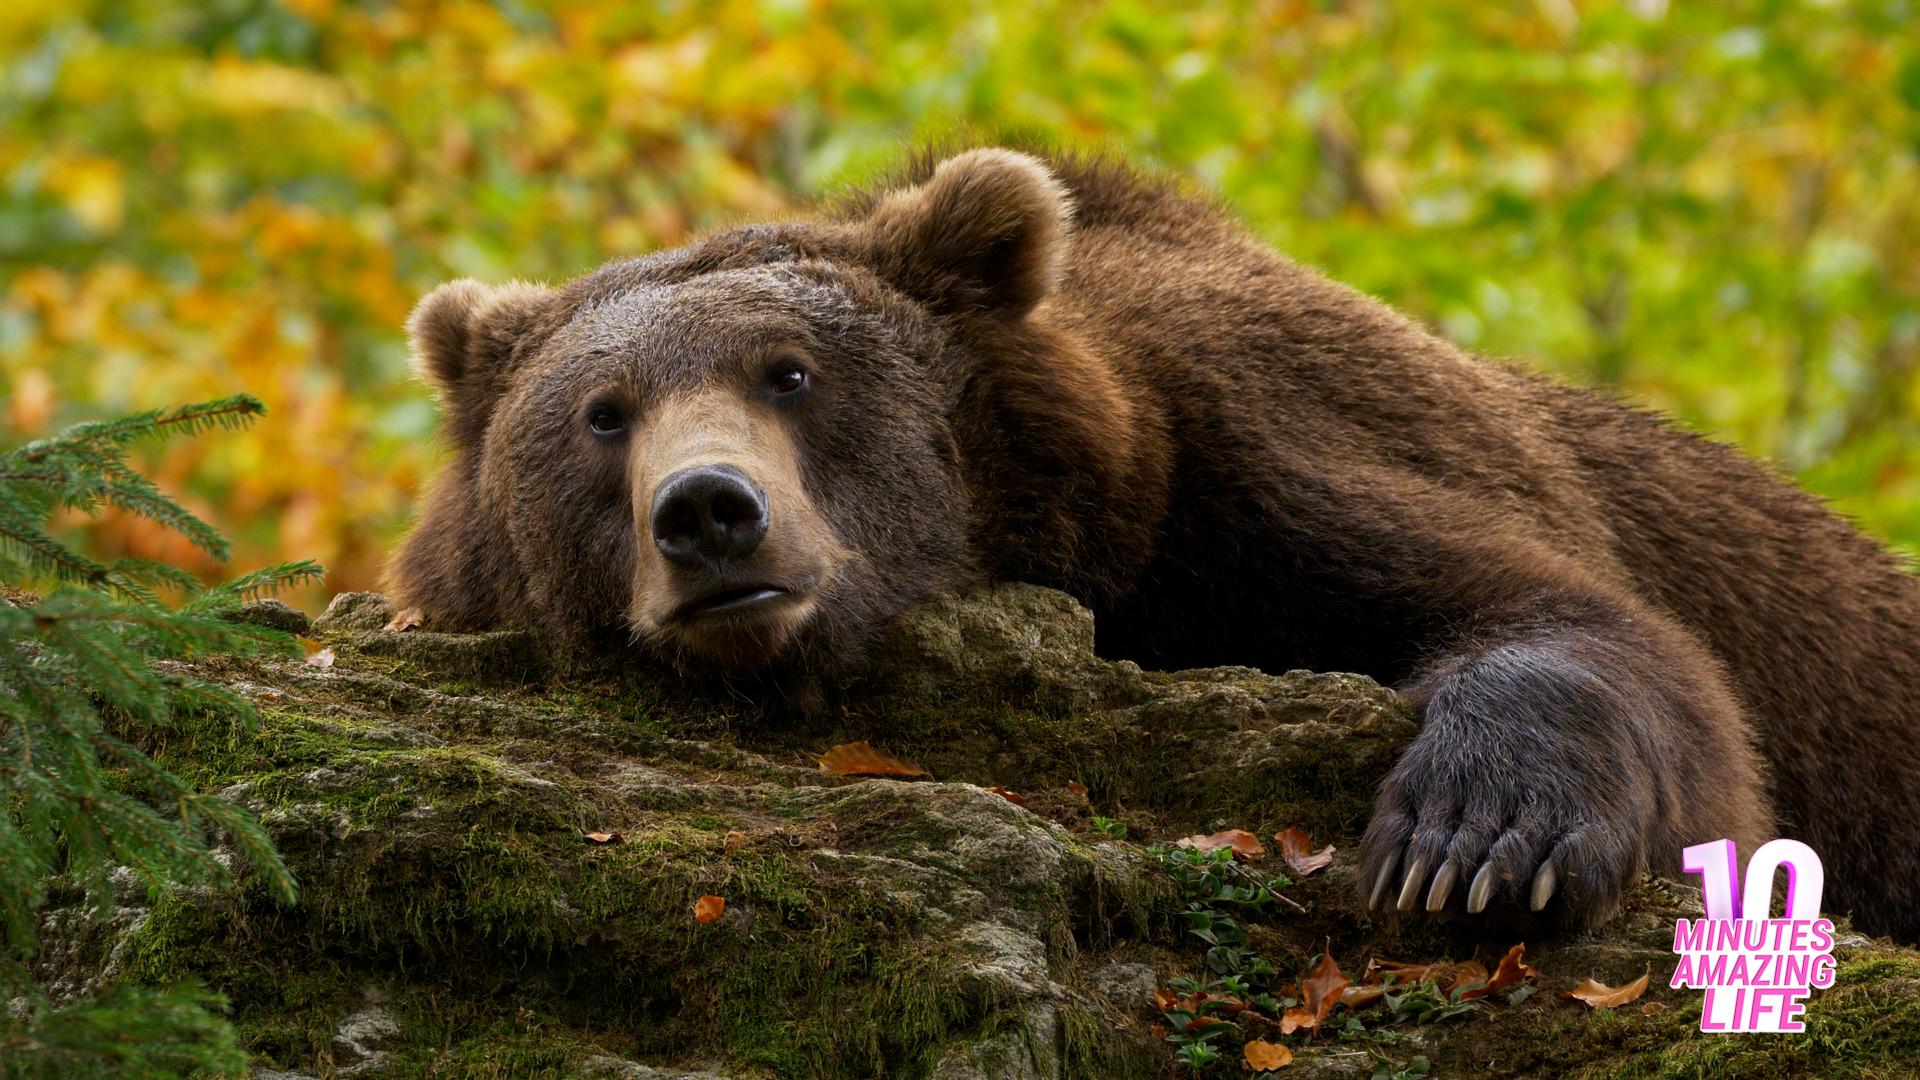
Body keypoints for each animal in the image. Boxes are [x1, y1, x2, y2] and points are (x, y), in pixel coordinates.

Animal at [387, 146, 1920, 942]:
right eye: (603, 413)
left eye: (790, 372)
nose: (708, 511)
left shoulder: (1251, 469)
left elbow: (1565, 618)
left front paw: (1475, 841)